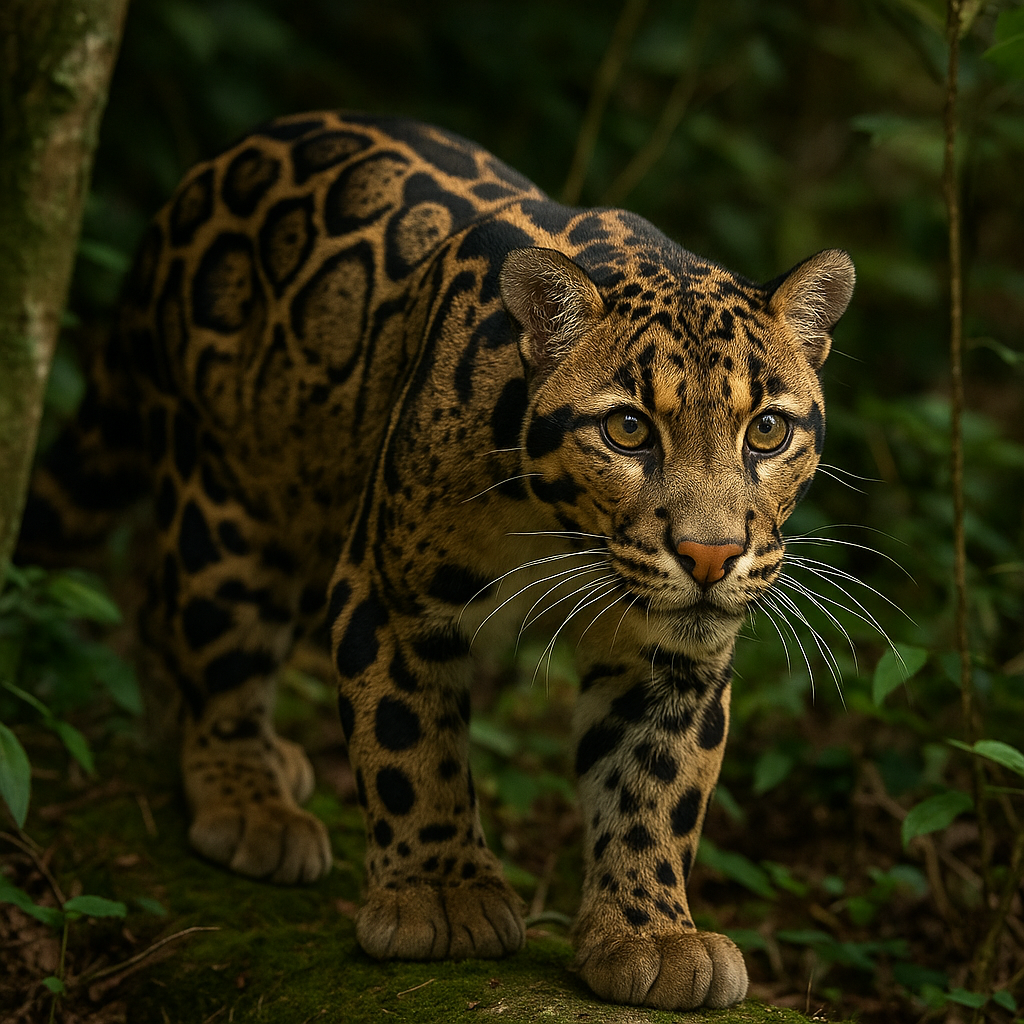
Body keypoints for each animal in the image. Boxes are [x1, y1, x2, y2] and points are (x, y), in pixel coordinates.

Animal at [25, 111, 855, 1011]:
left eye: (766, 431)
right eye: (628, 429)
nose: (710, 555)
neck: (559, 530)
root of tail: (200, 177)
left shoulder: (673, 651)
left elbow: (657, 783)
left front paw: (651, 934)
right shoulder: (392, 591)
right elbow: (409, 742)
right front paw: (439, 895)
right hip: (228, 494)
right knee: (215, 637)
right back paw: (249, 798)